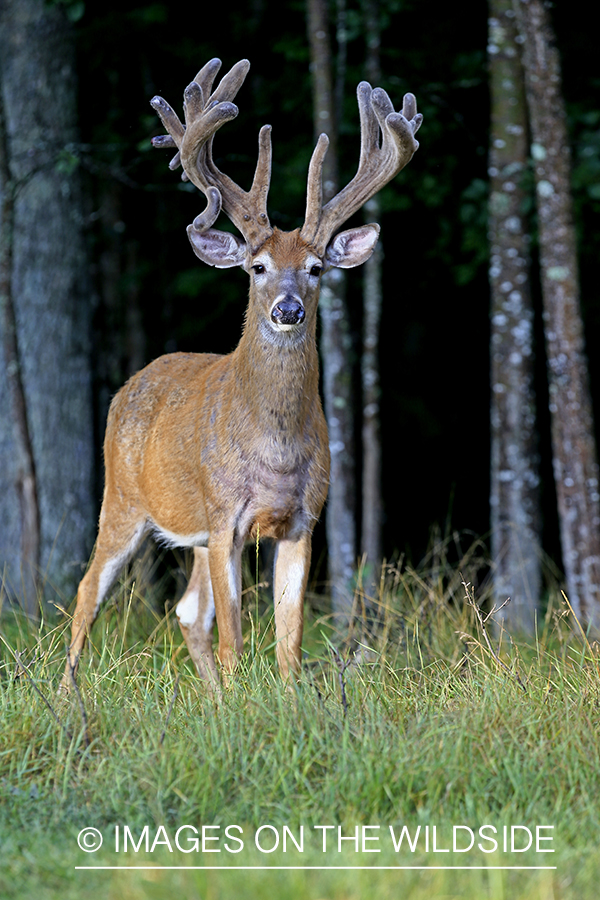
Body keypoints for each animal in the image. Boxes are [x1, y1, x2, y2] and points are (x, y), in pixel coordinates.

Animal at [58, 56, 420, 692]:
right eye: (257, 267)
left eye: (316, 268)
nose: (288, 310)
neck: (273, 451)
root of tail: (130, 384)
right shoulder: (226, 515)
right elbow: (235, 639)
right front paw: (238, 701)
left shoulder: (302, 520)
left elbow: (288, 644)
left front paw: (283, 701)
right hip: (123, 497)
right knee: (87, 591)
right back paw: (66, 695)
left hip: (195, 532)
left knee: (186, 612)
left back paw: (206, 699)